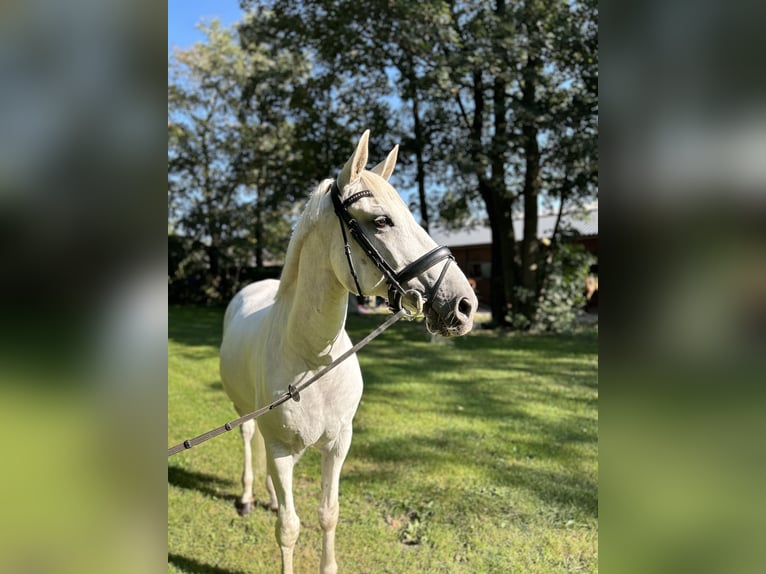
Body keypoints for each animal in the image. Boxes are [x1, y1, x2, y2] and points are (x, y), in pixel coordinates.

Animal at [219, 132, 476, 574]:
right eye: (381, 221)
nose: (464, 305)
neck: (313, 360)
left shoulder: (338, 444)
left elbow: (327, 514)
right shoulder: (282, 450)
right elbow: (289, 528)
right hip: (246, 414)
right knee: (251, 441)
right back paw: (250, 498)